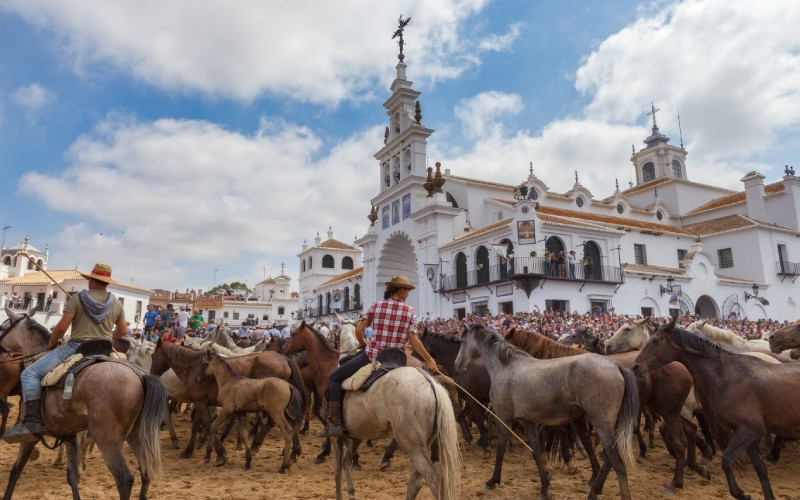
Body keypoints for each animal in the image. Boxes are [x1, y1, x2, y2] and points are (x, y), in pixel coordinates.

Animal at [148, 340, 304, 464]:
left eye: (152, 355)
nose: (152, 374)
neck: (193, 369)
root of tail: (285, 359)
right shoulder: (202, 402)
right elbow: (197, 426)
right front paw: (190, 450)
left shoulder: (201, 403)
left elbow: (209, 424)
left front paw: (219, 454)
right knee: (292, 423)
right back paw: (293, 453)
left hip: (272, 407)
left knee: (275, 423)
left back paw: (256, 445)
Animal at [506, 326, 708, 494]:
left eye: (574, 335)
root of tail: (683, 366)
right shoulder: (574, 416)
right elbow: (584, 441)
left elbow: (568, 438)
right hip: (667, 409)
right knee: (690, 430)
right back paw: (699, 465)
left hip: (669, 411)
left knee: (680, 441)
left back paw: (676, 481)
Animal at [636, 320, 800, 500]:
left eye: (656, 340)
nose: (636, 366)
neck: (728, 377)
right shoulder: (750, 436)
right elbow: (761, 470)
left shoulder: (749, 430)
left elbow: (726, 460)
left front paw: (741, 493)